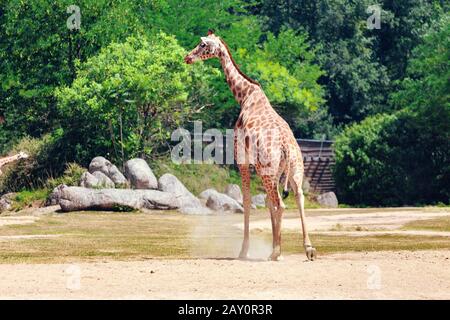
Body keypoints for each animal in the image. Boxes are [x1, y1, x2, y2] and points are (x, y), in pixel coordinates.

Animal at [185, 30, 316, 262]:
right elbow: (266, 203)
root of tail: (285, 146)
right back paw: (306, 249)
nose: (187, 57)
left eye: (202, 44)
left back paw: (276, 253)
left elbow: (246, 201)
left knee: (280, 203)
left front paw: (244, 251)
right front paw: (273, 244)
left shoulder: (242, 159)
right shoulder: (270, 169)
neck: (244, 95)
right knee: (297, 197)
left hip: (267, 170)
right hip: (292, 169)